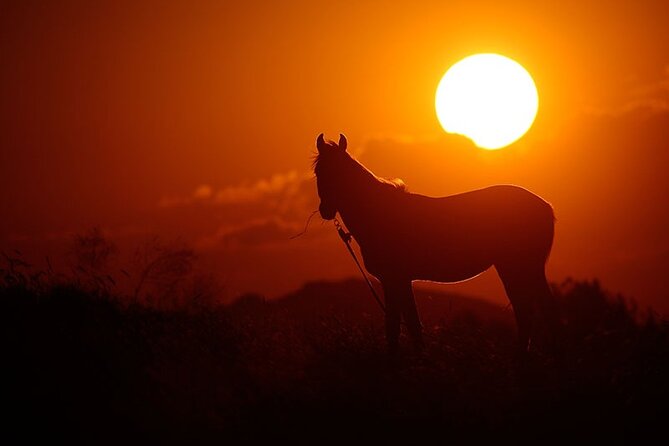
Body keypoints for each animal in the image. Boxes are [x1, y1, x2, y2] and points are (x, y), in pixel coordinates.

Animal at [313, 133, 558, 355]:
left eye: (340, 172)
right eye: (318, 171)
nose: (326, 210)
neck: (381, 213)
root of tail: (546, 206)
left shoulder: (397, 279)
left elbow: (403, 324)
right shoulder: (394, 281)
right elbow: (402, 324)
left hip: (522, 267)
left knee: (540, 308)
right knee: (527, 309)